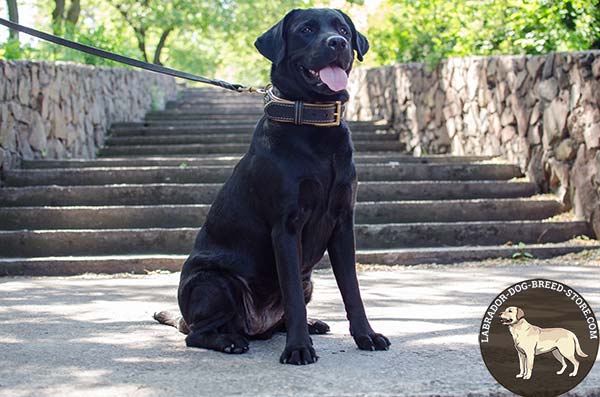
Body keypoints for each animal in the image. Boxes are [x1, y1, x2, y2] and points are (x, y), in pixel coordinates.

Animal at [152, 6, 392, 366]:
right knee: (197, 333)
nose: (337, 43)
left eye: (343, 30)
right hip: (214, 282)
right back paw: (230, 341)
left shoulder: (342, 221)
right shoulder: (286, 226)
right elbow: (291, 295)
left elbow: (352, 289)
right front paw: (298, 348)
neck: (314, 125)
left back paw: (311, 323)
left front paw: (366, 335)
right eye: (306, 29)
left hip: (307, 281)